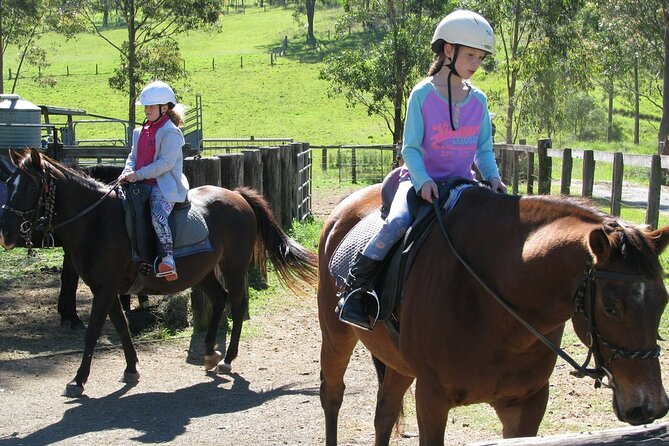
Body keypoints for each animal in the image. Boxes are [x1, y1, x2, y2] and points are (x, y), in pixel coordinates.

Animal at [0, 150, 318, 398]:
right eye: (9, 183)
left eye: (28, 186)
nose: (6, 233)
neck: (97, 221)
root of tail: (237, 195)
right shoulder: (107, 289)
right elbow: (122, 327)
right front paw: (131, 369)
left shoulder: (105, 289)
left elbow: (92, 333)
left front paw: (78, 380)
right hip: (203, 271)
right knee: (220, 298)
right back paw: (209, 353)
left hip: (234, 265)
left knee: (237, 303)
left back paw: (227, 359)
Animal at [318, 182, 668, 446]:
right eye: (611, 307)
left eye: (663, 302)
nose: (648, 406)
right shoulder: (431, 399)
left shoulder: (526, 404)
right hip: (336, 336)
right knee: (332, 396)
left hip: (398, 361)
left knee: (385, 412)